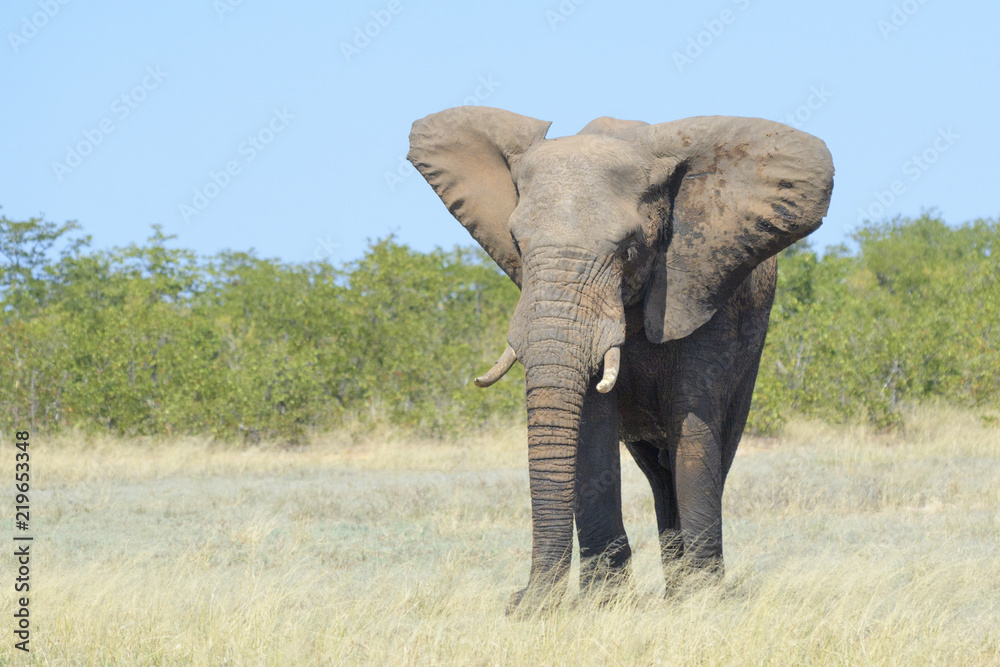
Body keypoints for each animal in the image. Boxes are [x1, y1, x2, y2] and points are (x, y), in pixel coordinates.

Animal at [407, 106, 834, 613]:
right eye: (517, 243)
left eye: (629, 248)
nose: (519, 601)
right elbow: (592, 427)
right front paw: (603, 601)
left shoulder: (703, 288)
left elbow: (693, 422)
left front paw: (702, 601)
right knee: (657, 472)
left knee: (712, 448)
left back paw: (685, 588)